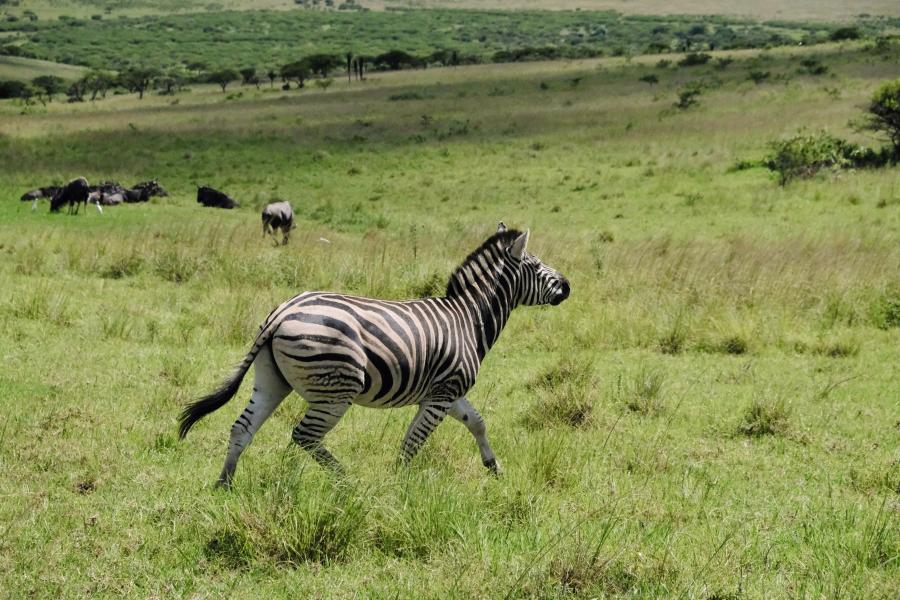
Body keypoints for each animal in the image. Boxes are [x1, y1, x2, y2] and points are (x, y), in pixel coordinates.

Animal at [178, 223, 570, 487]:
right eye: (537, 267)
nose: (567, 286)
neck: (468, 317)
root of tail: (283, 311)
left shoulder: (448, 392)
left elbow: (477, 422)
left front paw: (494, 467)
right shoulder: (442, 393)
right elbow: (413, 442)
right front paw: (397, 483)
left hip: (271, 380)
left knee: (242, 427)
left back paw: (225, 484)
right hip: (336, 388)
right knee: (305, 436)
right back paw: (347, 481)